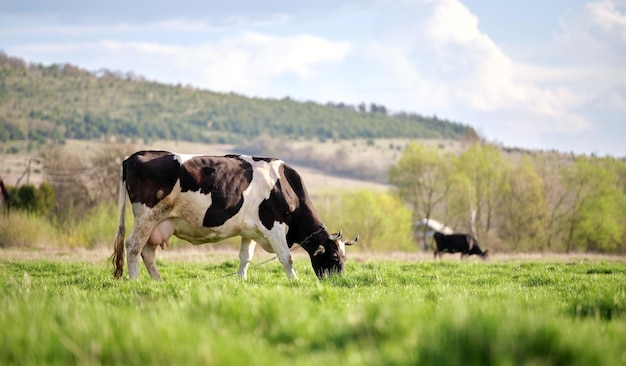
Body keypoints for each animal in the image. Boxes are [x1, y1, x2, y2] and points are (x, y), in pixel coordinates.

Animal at [110, 150, 358, 282]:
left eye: (345, 258)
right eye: (334, 256)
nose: (338, 281)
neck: (285, 185)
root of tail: (134, 156)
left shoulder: (250, 230)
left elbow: (245, 257)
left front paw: (240, 281)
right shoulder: (274, 225)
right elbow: (286, 257)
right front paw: (295, 281)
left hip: (159, 224)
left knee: (147, 252)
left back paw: (158, 282)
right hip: (146, 216)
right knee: (133, 246)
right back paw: (135, 281)